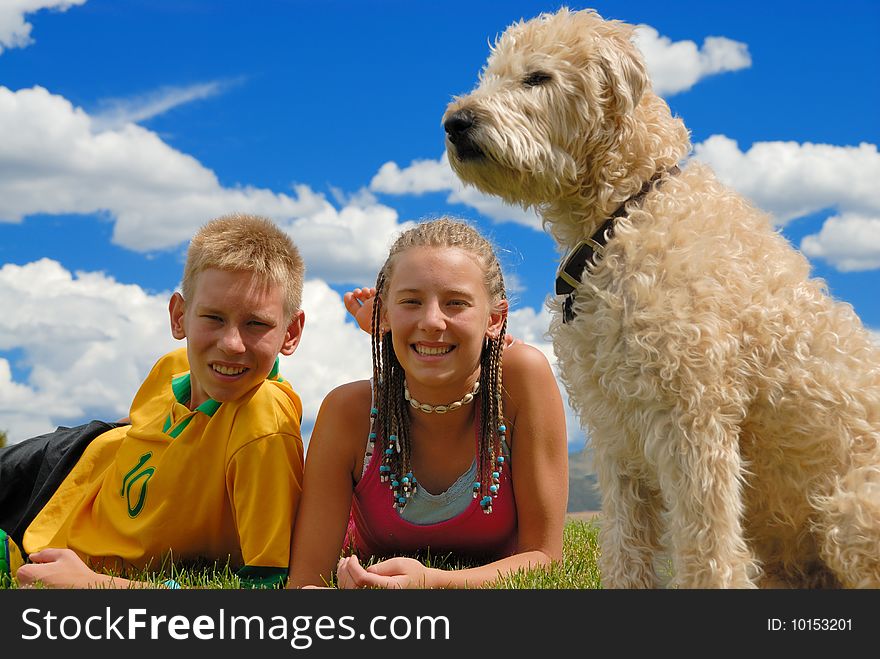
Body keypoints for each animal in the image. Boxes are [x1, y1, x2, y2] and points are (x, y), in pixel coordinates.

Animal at [446, 7, 880, 592]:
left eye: (537, 77)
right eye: (492, 73)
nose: (455, 122)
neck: (623, 213)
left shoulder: (694, 422)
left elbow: (709, 550)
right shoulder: (617, 433)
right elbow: (626, 545)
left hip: (848, 509)